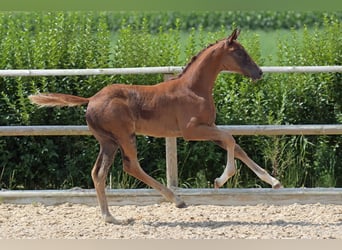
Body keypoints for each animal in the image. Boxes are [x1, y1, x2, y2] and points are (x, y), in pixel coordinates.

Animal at [30, 28, 280, 223]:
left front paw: (273, 181)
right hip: (124, 136)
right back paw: (176, 200)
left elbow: (237, 147)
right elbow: (230, 138)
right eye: (239, 52)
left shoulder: (209, 126)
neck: (193, 89)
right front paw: (221, 179)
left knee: (98, 173)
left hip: (108, 141)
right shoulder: (192, 130)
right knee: (131, 166)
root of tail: (91, 99)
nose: (259, 73)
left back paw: (110, 217)